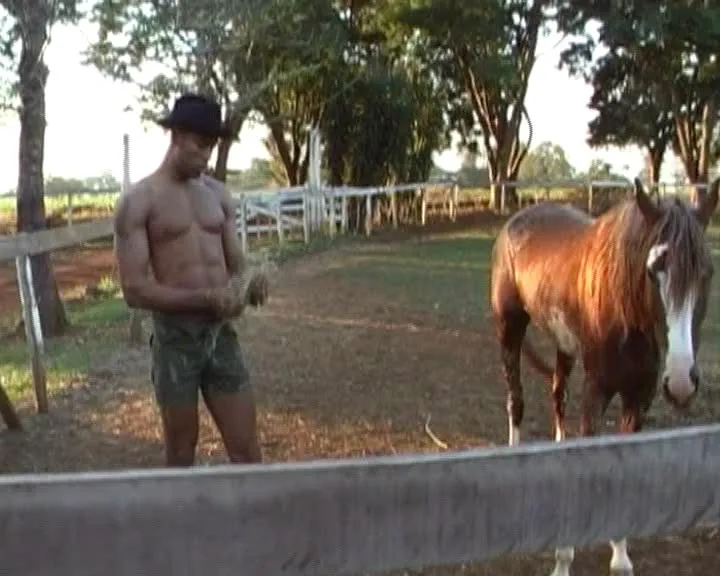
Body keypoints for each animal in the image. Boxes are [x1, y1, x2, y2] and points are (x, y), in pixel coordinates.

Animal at [489, 177, 719, 576]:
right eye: (652, 271)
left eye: (706, 272)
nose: (681, 381)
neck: (627, 315)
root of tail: (515, 221)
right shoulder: (596, 391)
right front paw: (563, 561)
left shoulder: (638, 397)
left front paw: (621, 557)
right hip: (510, 330)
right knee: (515, 401)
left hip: (564, 345)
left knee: (558, 397)